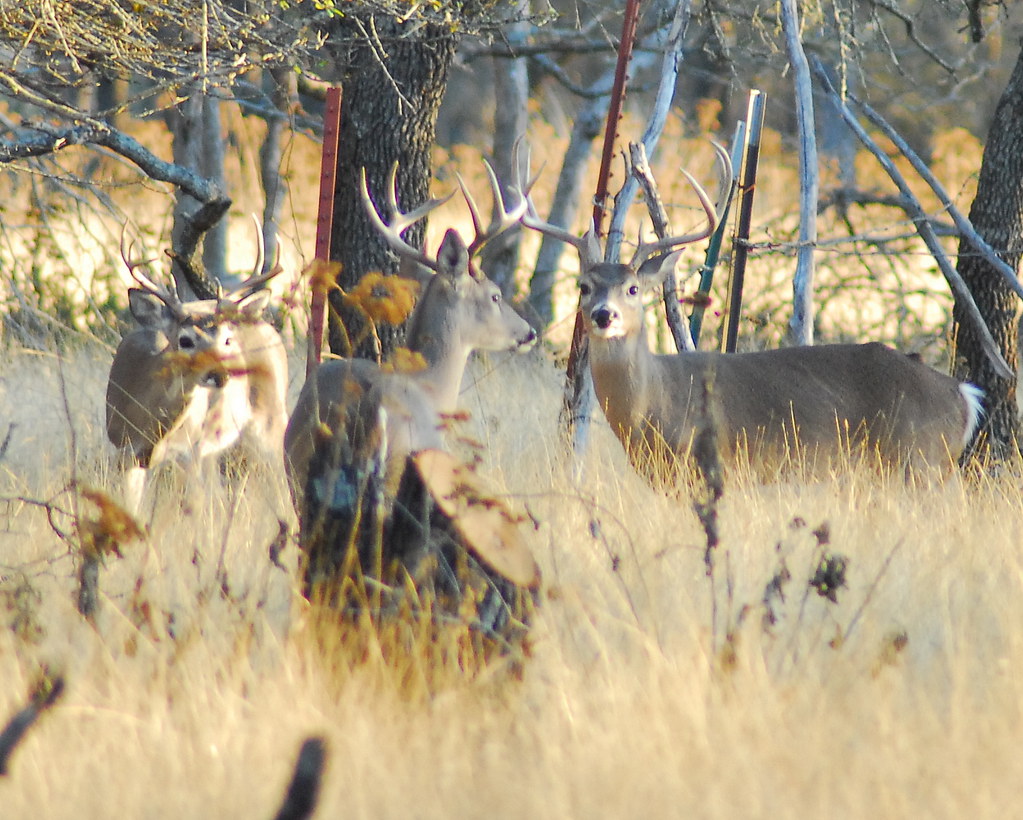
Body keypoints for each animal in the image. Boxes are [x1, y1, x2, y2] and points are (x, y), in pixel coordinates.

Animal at [106, 231, 289, 513]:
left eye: (226, 339)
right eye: (185, 340)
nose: (222, 375)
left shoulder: (188, 451)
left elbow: (194, 505)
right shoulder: (123, 452)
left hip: (270, 421)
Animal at [283, 161, 537, 580]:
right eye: (495, 296)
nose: (529, 332)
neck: (431, 387)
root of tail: (367, 412)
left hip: (300, 471)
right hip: (396, 475)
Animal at [517, 146, 984, 484]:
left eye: (633, 289)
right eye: (583, 286)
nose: (603, 315)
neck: (657, 403)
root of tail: (964, 395)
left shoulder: (718, 466)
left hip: (918, 459)